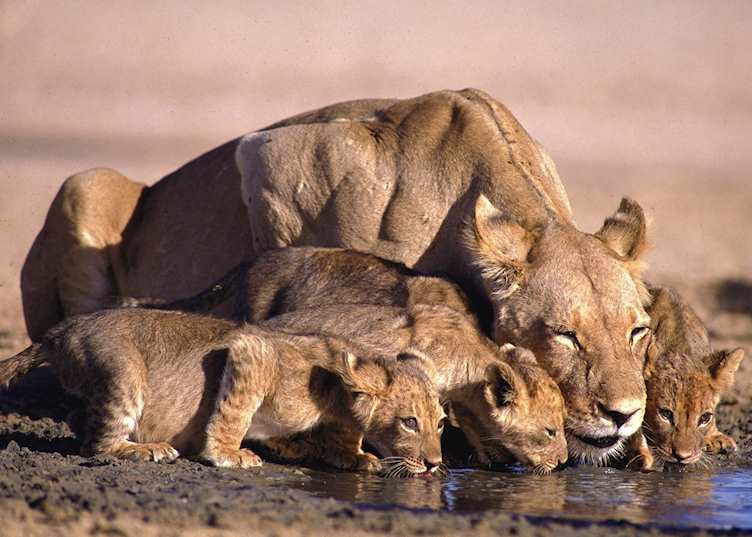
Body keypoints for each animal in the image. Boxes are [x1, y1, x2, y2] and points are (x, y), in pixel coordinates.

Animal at [0, 308, 445, 475]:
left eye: (440, 423)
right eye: (409, 422)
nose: (437, 464)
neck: (333, 394)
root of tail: (60, 331)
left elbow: (345, 435)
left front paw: (354, 456)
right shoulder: (253, 352)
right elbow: (234, 412)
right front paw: (228, 454)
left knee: (79, 420)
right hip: (123, 371)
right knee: (96, 444)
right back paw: (149, 449)